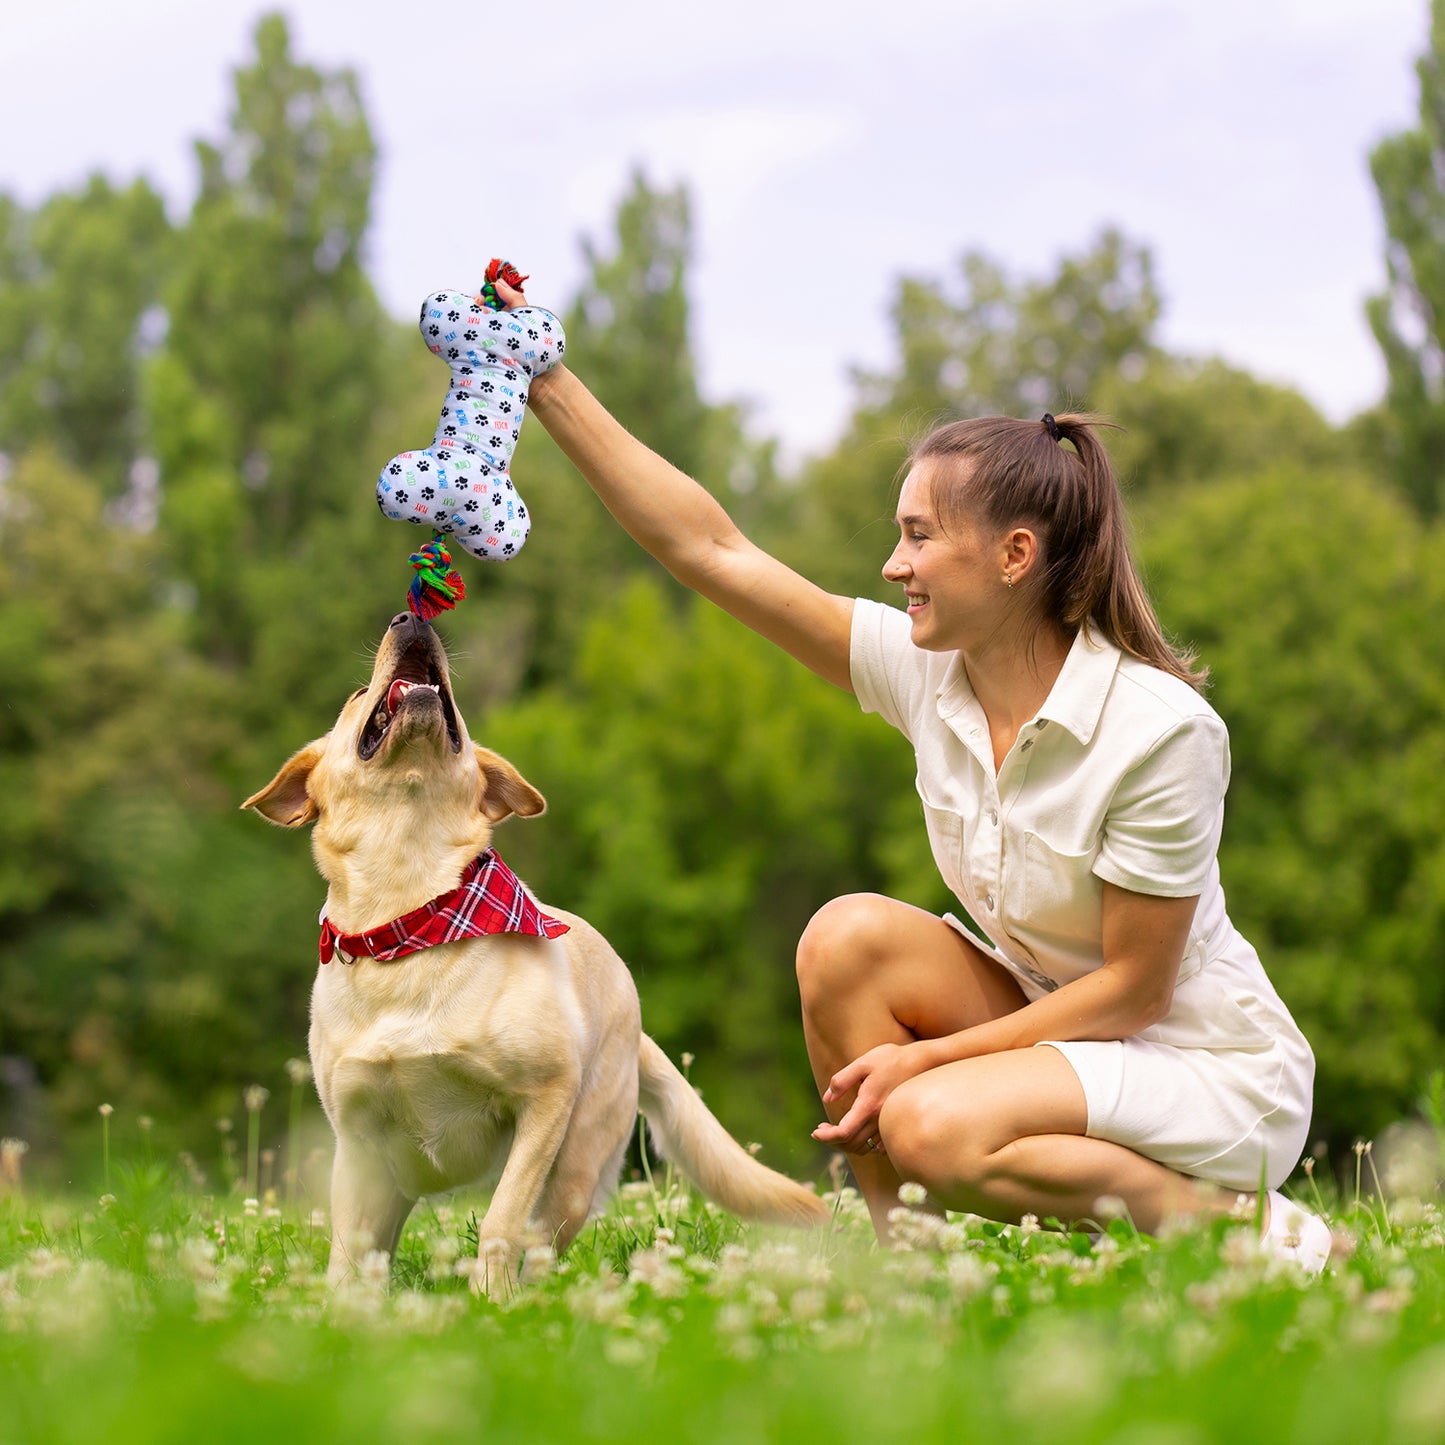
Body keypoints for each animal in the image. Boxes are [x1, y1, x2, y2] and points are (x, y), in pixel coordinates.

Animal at [245, 604, 826, 1294]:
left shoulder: (545, 1099)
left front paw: (491, 1302)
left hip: (575, 1167)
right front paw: (337, 1310)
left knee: (542, 1243)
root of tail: (637, 1030)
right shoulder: (358, 1143)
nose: (412, 618)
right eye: (360, 695)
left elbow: (500, 1221)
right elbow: (347, 1251)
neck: (414, 917)